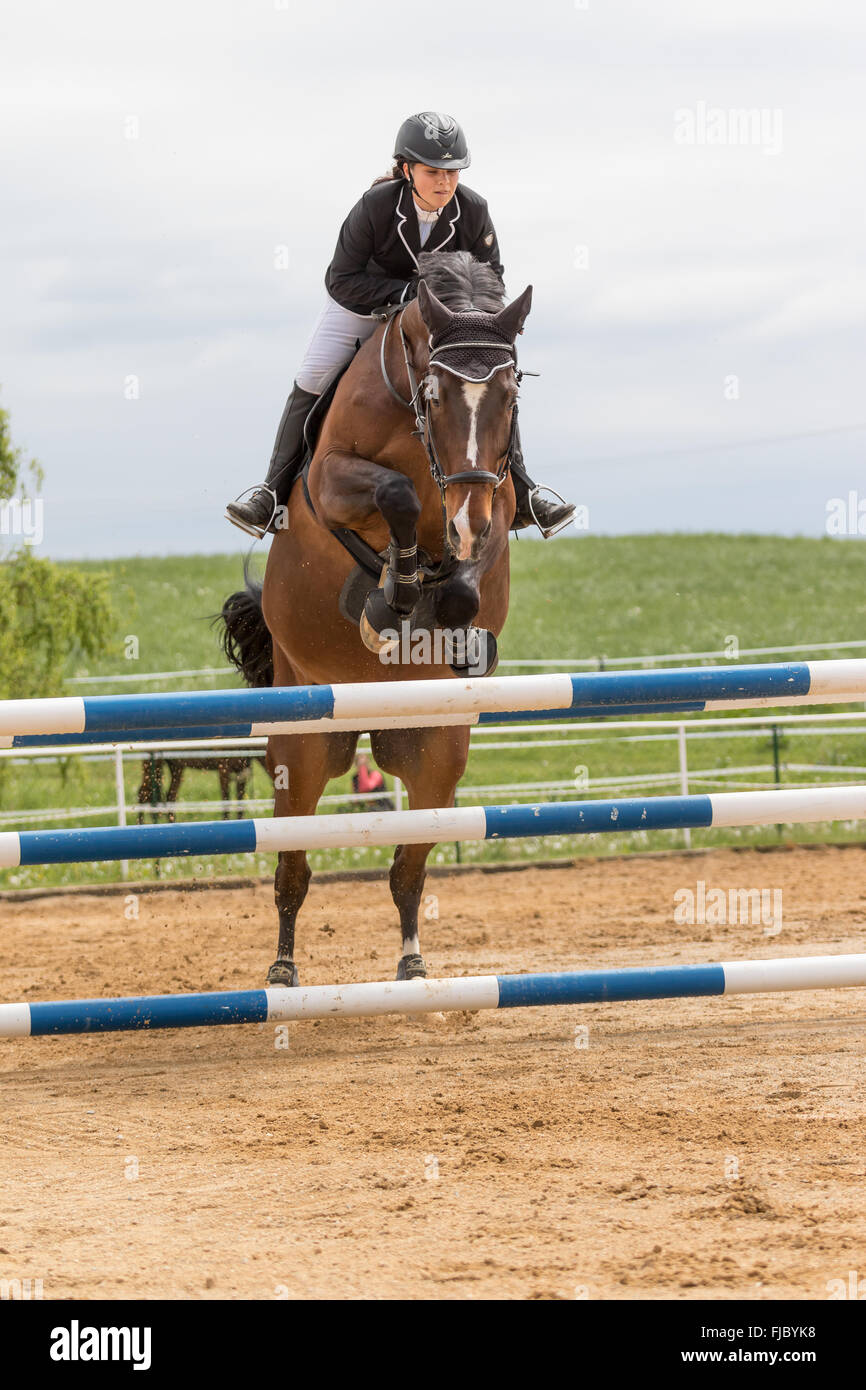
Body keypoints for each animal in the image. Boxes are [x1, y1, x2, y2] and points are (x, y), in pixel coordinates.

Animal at [219, 250, 530, 989]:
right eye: (436, 395)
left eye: (511, 395)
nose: (464, 520)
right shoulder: (334, 480)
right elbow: (395, 495)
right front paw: (388, 596)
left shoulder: (496, 497)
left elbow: (464, 577)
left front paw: (448, 618)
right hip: (300, 750)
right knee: (292, 865)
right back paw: (282, 968)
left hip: (433, 755)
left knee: (407, 868)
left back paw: (413, 962)